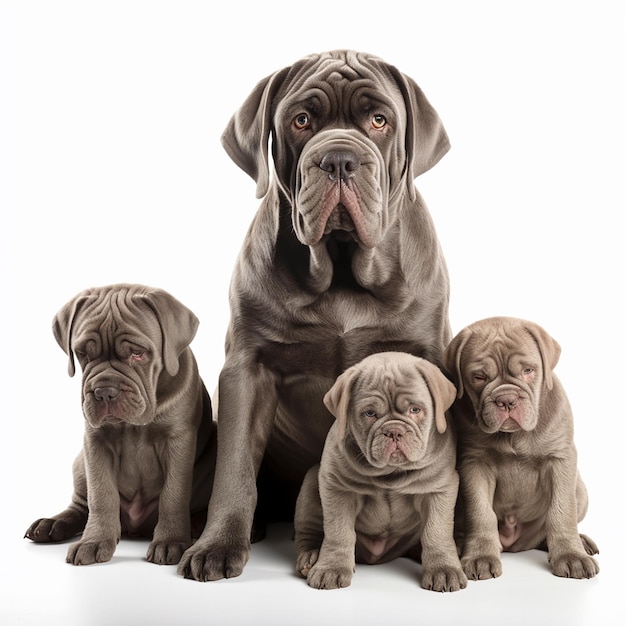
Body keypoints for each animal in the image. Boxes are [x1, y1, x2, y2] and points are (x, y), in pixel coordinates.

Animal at [25, 284, 216, 564]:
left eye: (138, 353)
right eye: (82, 353)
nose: (104, 391)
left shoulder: (178, 440)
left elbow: (173, 494)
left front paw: (170, 541)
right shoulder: (95, 442)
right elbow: (101, 495)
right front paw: (93, 541)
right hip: (80, 463)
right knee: (81, 506)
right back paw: (52, 524)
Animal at [292, 352, 464, 588]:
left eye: (415, 409)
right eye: (370, 413)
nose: (394, 431)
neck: (390, 473)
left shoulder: (439, 489)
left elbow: (436, 531)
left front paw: (443, 570)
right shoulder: (336, 488)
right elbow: (338, 532)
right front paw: (331, 568)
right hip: (310, 483)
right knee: (308, 531)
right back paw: (310, 557)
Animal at [442, 316, 596, 580]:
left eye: (528, 371)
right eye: (479, 377)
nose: (507, 400)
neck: (513, 436)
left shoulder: (561, 459)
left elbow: (562, 511)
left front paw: (571, 556)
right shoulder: (474, 463)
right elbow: (480, 512)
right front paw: (480, 556)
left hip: (581, 491)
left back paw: (581, 542)